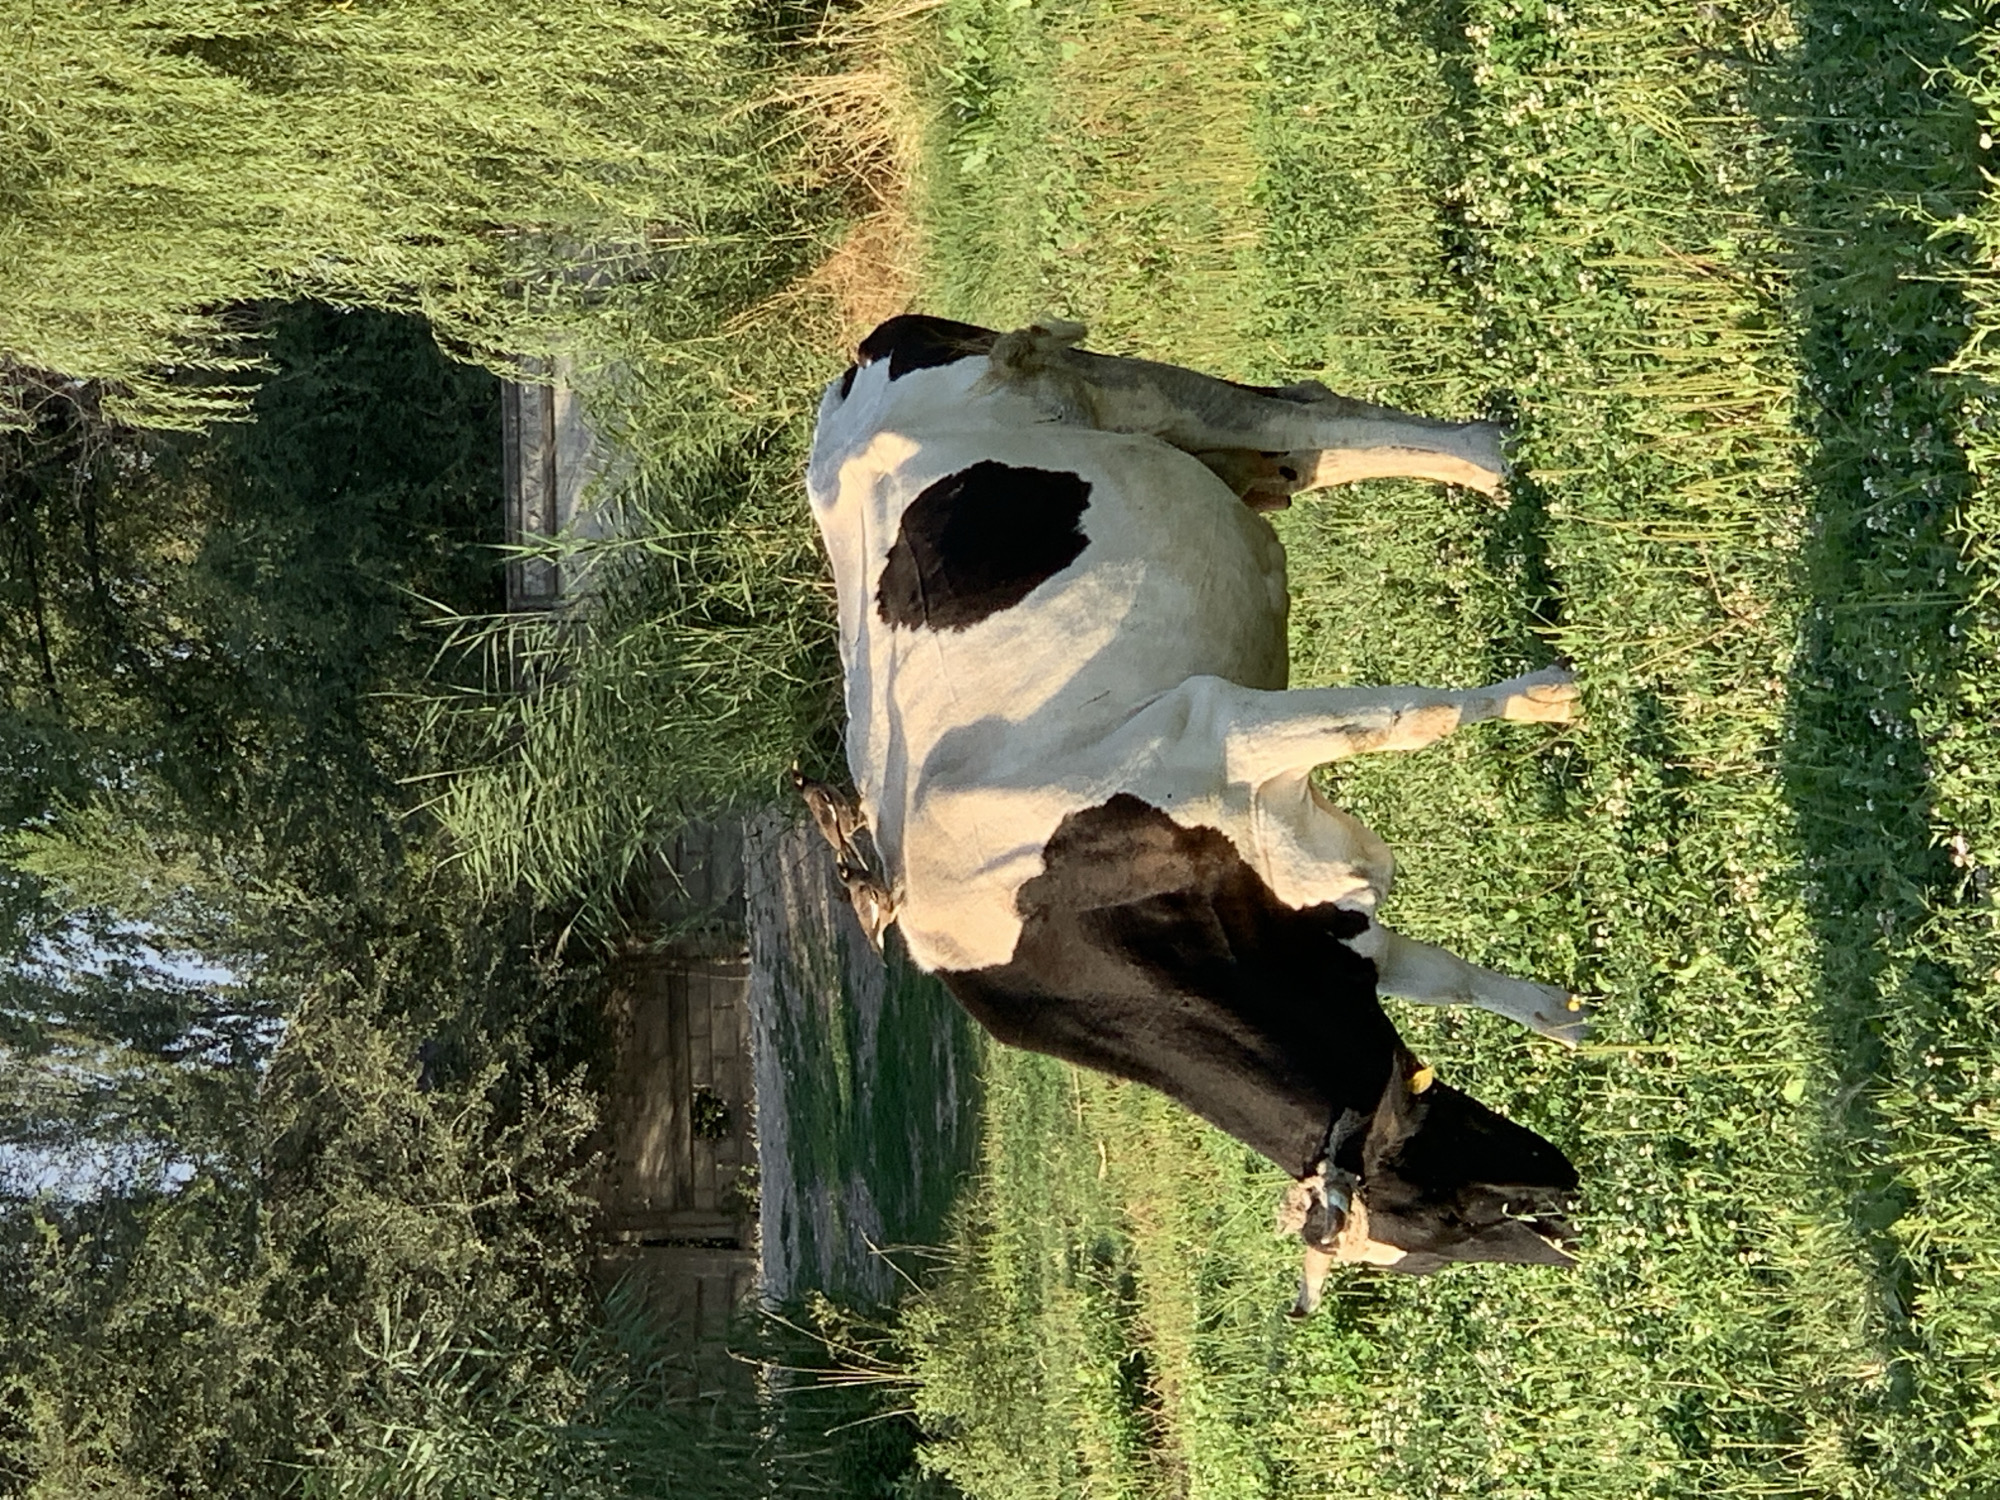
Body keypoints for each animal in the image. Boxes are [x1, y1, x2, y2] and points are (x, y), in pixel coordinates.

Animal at [804, 314, 1584, 1311]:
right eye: (1448, 1226)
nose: (1570, 1216)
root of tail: (858, 362)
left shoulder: (1208, 727)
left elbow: (1412, 716)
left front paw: (1546, 696)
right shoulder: (1320, 914)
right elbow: (1450, 979)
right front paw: (1563, 1017)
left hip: (1106, 395)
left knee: (1295, 417)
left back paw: (1495, 455)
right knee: (1304, 439)